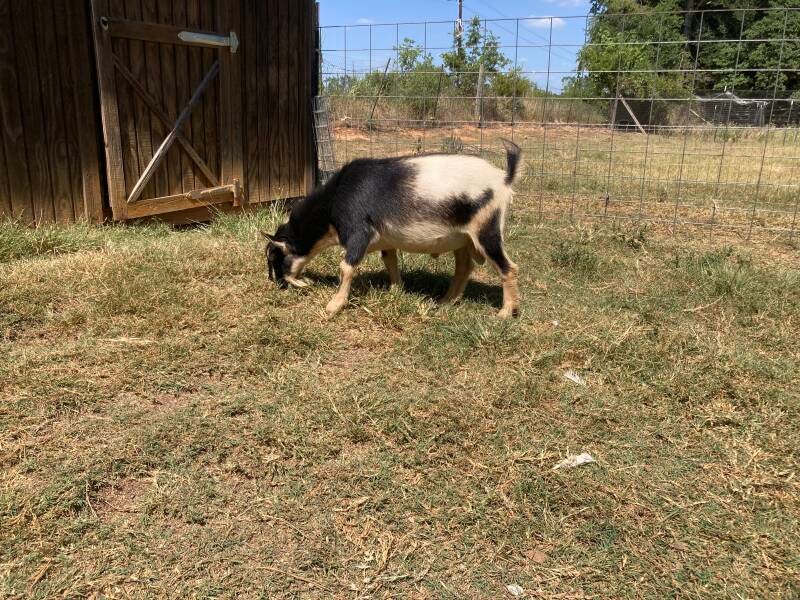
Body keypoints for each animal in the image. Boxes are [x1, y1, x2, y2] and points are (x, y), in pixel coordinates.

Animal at [263, 139, 522, 318]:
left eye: (275, 256)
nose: (278, 284)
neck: (335, 199)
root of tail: (504, 178)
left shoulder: (358, 232)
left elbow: (346, 267)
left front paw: (334, 306)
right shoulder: (386, 242)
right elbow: (390, 262)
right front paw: (396, 291)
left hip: (486, 230)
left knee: (508, 267)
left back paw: (505, 313)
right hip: (462, 239)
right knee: (464, 267)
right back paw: (446, 301)